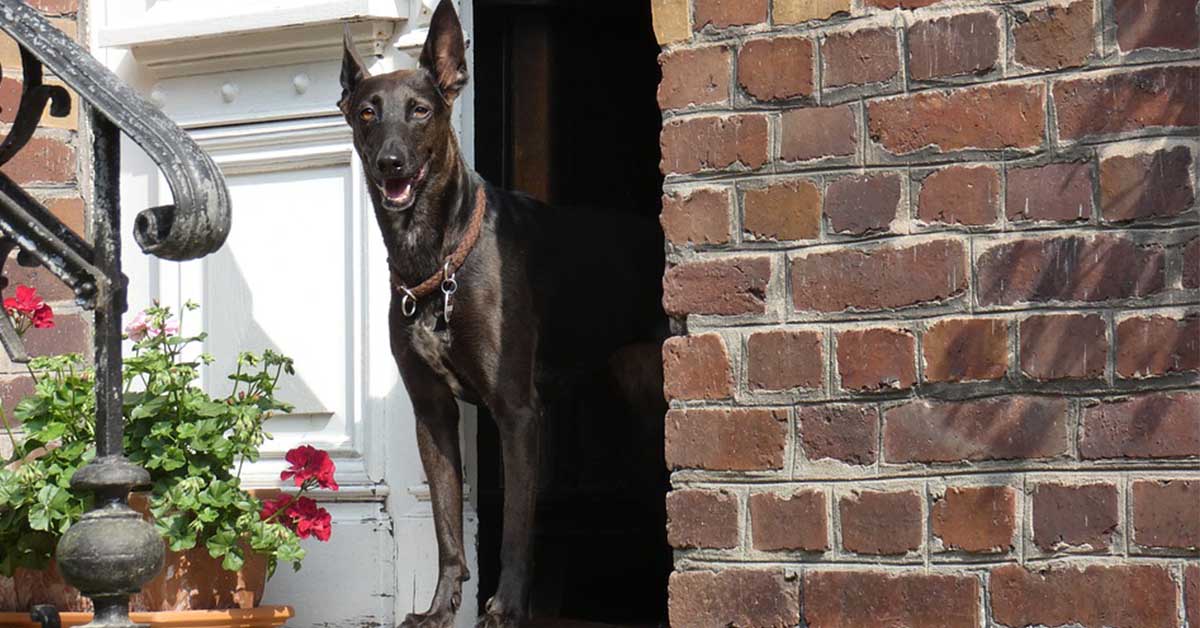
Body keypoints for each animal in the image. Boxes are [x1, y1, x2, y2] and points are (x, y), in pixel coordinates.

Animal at [340, 2, 667, 624]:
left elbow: (516, 528)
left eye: (420, 111)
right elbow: (446, 527)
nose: (391, 163)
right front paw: (439, 609)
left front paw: (506, 608)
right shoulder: (432, 412)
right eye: (368, 112)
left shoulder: (517, 413)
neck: (437, 259)